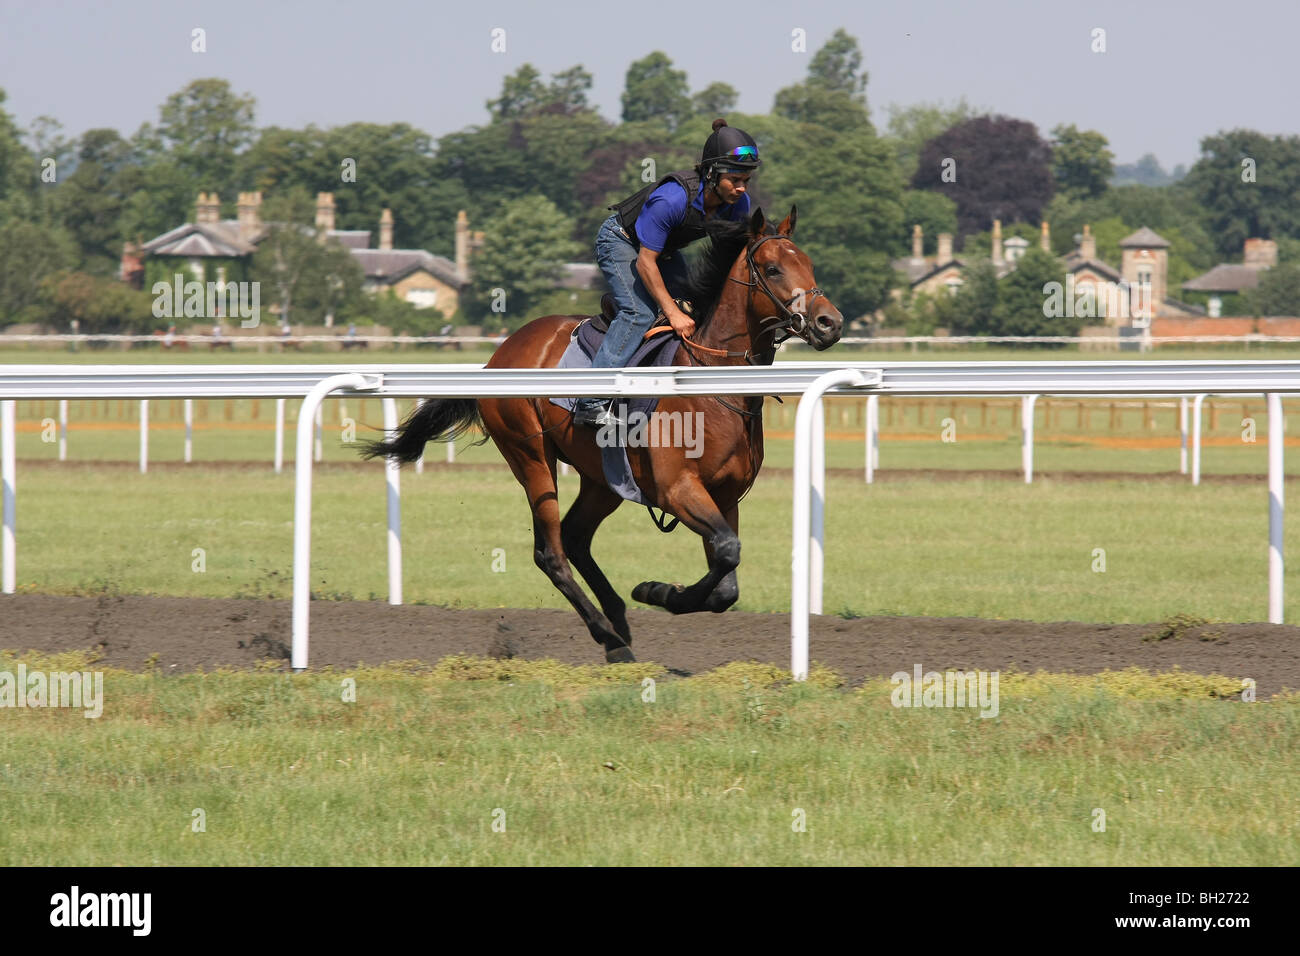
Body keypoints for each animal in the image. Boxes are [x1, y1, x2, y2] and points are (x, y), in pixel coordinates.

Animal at [361, 205, 842, 660]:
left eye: (810, 264)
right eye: (774, 268)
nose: (829, 323)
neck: (711, 385)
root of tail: (499, 355)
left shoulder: (724, 495)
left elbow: (726, 579)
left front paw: (657, 591)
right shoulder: (677, 489)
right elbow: (726, 552)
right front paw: (656, 590)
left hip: (604, 478)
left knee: (575, 537)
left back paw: (617, 619)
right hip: (531, 457)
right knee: (551, 551)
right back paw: (610, 639)